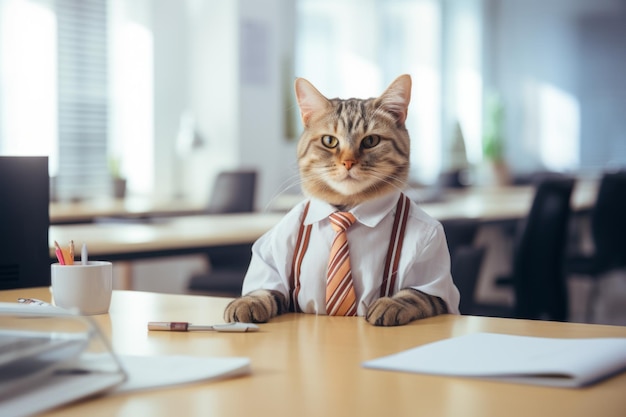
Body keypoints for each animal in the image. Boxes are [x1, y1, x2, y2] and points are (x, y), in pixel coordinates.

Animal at [222, 74, 456, 324]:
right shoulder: (273, 259)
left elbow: (415, 295)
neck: (346, 208)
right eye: (329, 141)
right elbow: (263, 290)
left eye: (371, 141)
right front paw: (248, 302)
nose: (348, 162)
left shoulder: (436, 285)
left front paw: (391, 304)